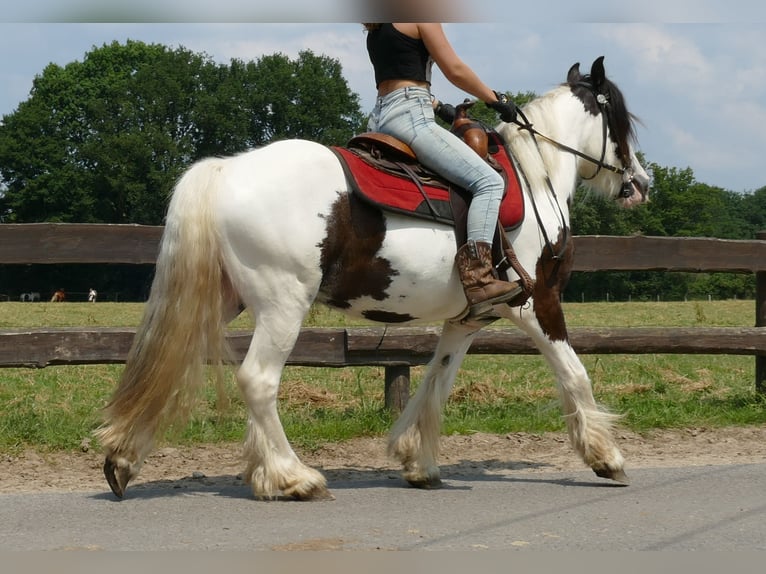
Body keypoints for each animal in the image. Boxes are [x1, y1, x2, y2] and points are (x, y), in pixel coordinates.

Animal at [94, 56, 648, 502]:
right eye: (622, 121)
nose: (641, 183)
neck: (535, 180)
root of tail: (226, 171)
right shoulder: (536, 303)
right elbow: (574, 374)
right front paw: (606, 457)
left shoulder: (469, 319)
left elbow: (436, 381)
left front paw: (416, 460)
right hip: (283, 303)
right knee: (257, 380)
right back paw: (293, 477)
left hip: (224, 299)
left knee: (169, 359)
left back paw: (123, 459)